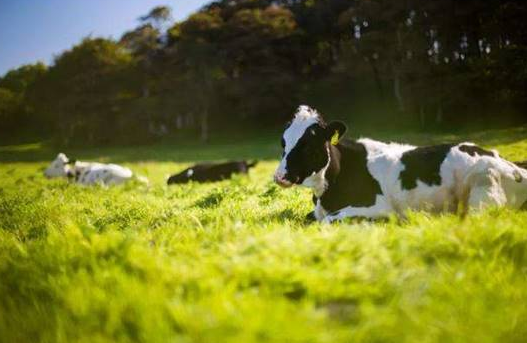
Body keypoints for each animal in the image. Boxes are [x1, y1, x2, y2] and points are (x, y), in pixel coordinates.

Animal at [274, 105, 527, 223]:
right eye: (283, 141)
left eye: (309, 143)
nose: (279, 176)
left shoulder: (379, 207)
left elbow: (327, 221)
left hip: (482, 191)